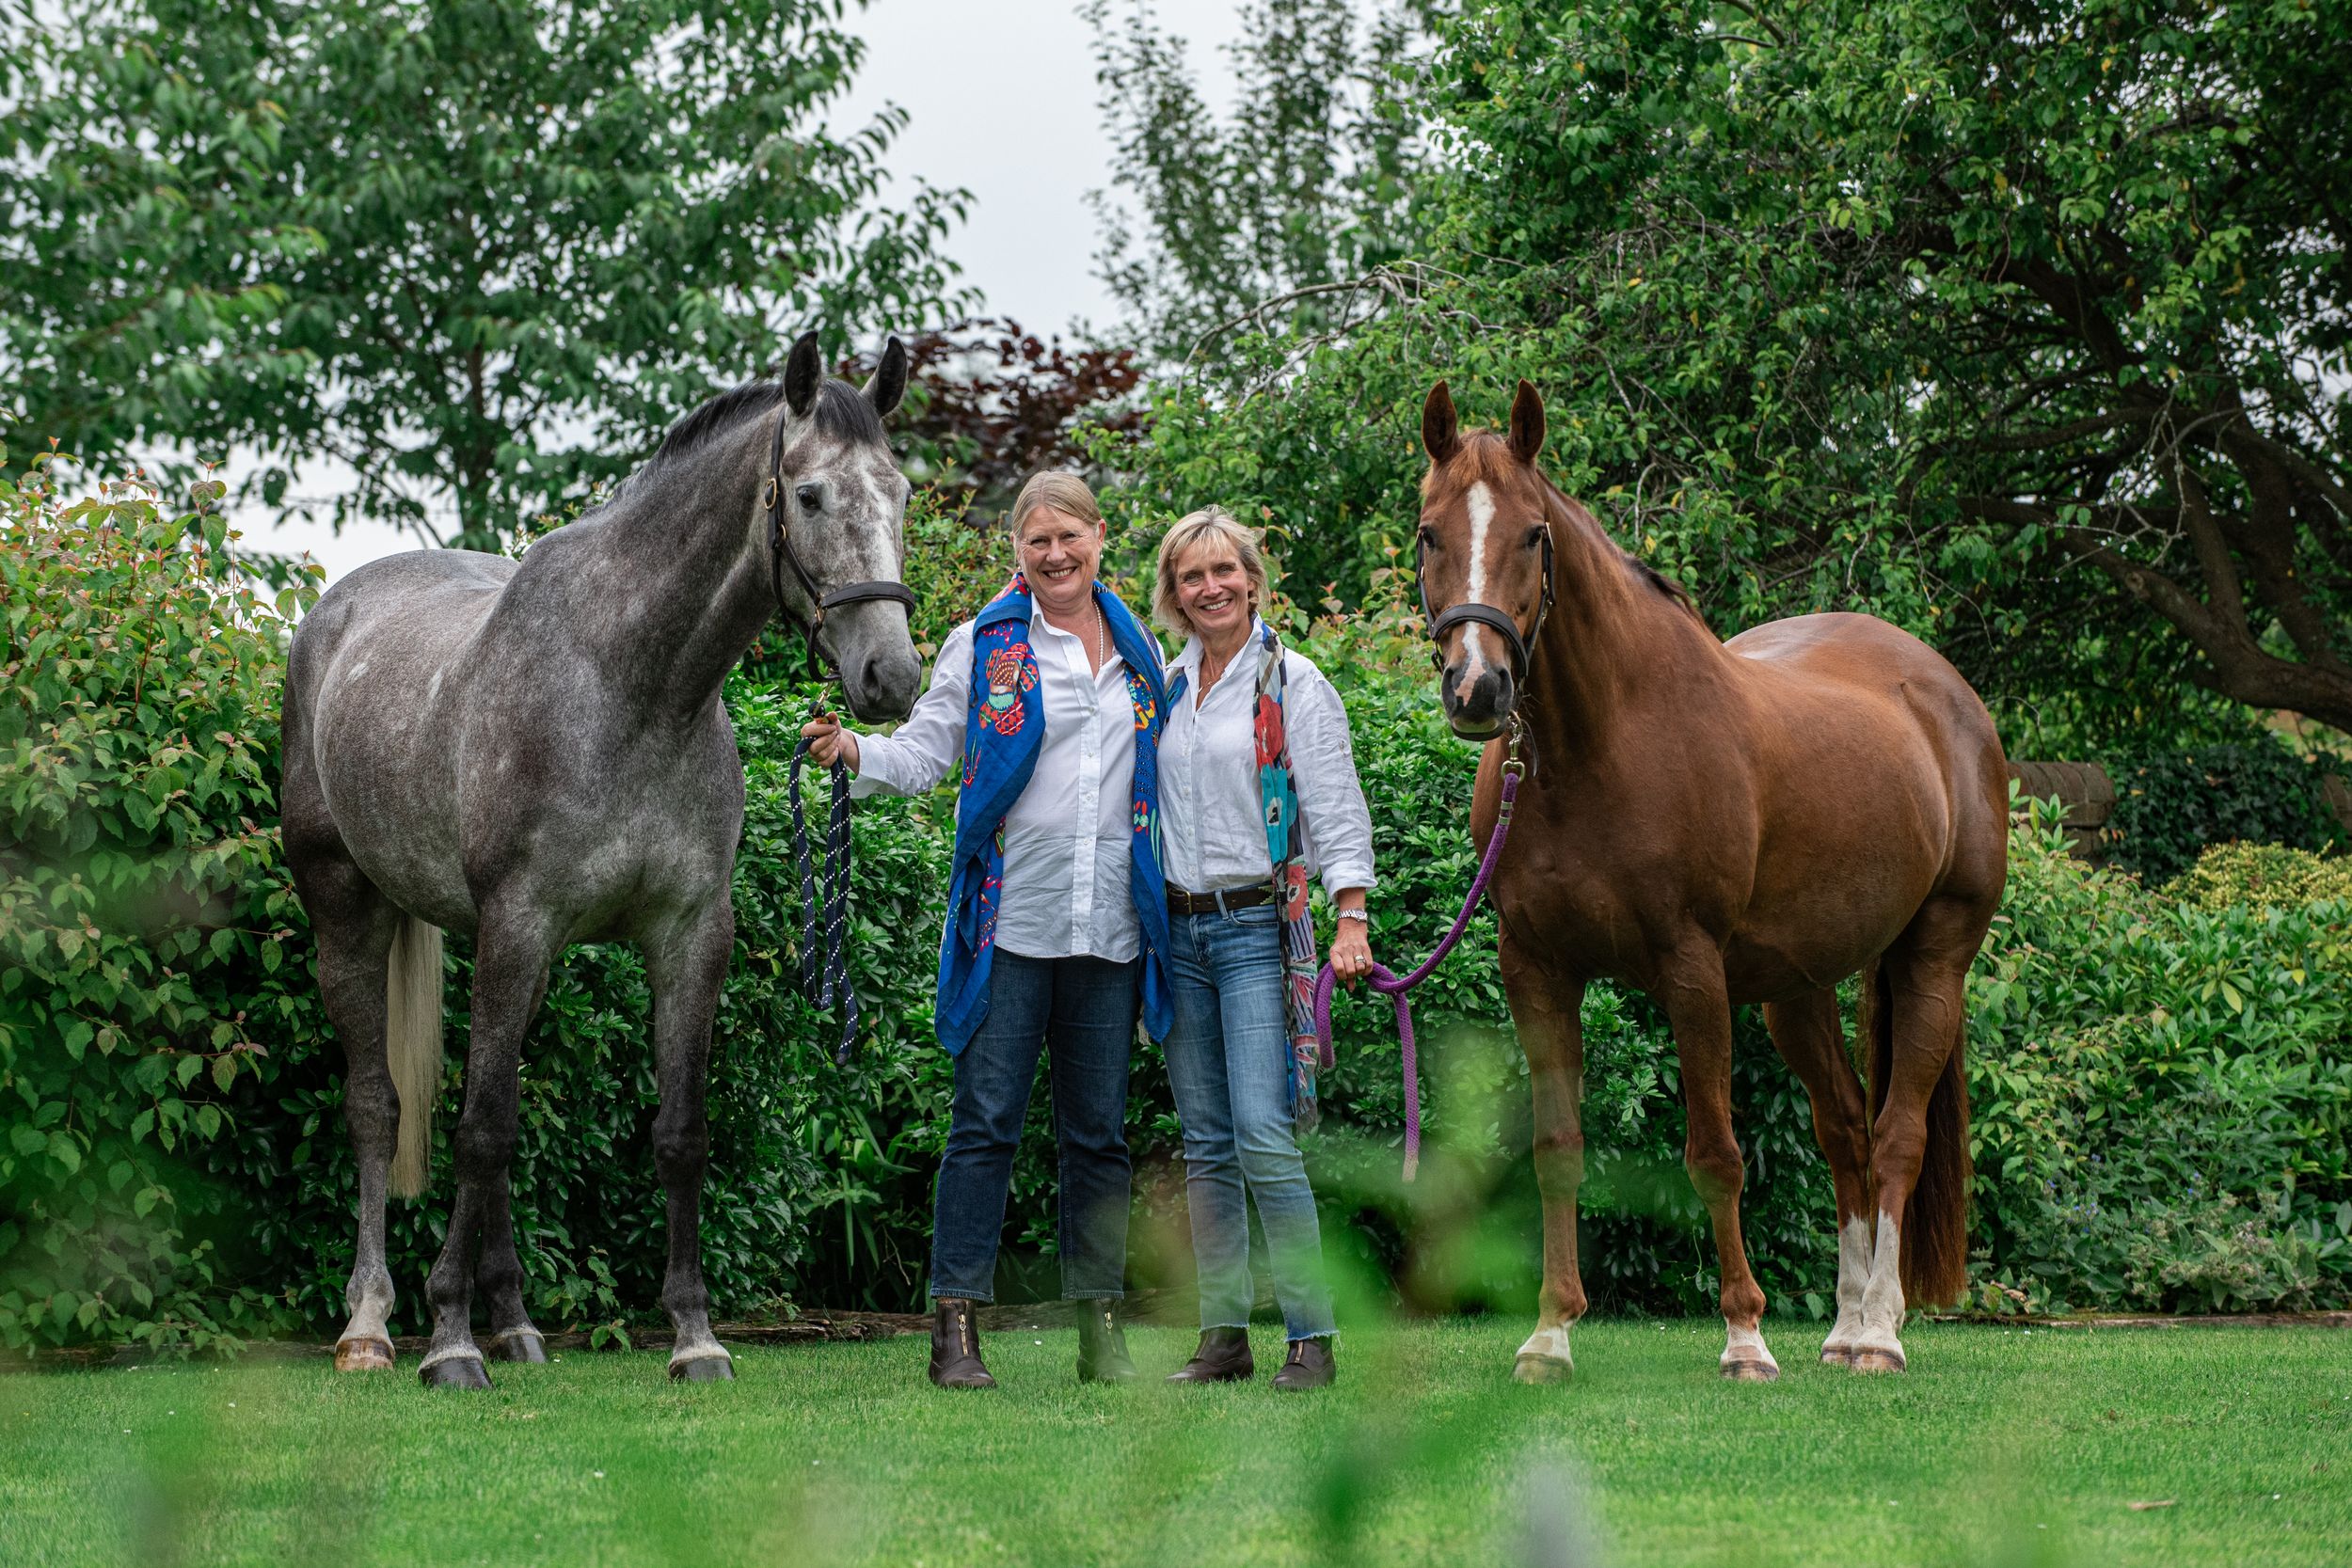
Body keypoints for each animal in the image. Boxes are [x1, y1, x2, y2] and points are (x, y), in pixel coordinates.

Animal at [281, 331, 922, 1387]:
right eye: (809, 493)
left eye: (902, 491)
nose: (892, 676)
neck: (632, 687)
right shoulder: (518, 921)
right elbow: (480, 1130)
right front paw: (447, 1338)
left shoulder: (687, 935)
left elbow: (674, 1133)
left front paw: (695, 1335)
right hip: (350, 912)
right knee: (379, 1106)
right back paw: (372, 1325)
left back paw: (514, 1322)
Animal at [1413, 379, 2008, 1381]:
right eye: (1427, 533)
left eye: (1534, 534)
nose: (1478, 689)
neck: (1601, 745)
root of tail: (1946, 693)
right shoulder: (1536, 970)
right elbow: (1556, 1147)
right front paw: (1550, 1333)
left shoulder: (1691, 972)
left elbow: (1716, 1153)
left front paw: (1745, 1335)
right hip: (1794, 990)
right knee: (1844, 1130)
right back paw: (1845, 1325)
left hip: (1936, 956)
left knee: (1897, 1134)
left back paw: (1879, 1332)